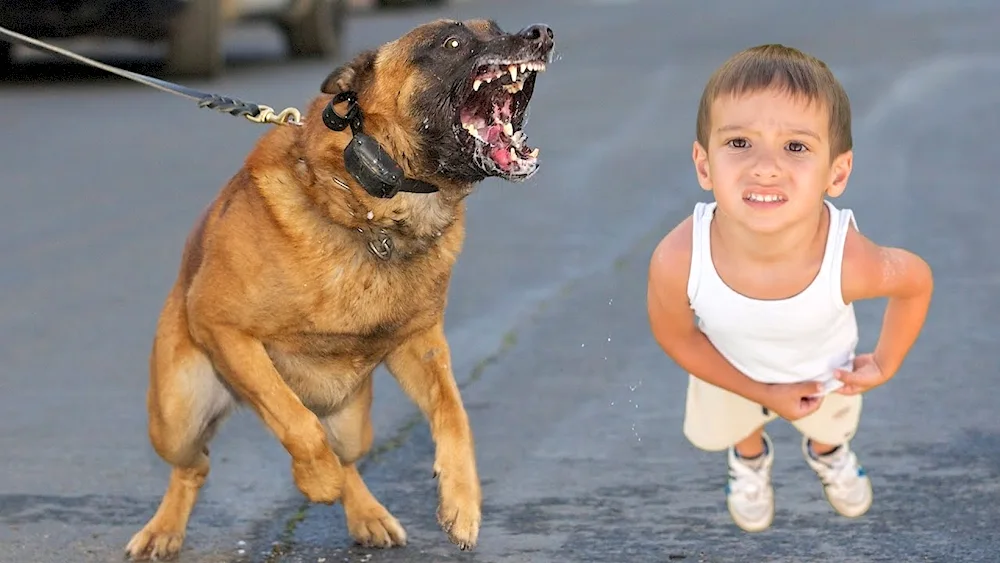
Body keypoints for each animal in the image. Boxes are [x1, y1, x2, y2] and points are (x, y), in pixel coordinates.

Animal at [123, 16, 556, 560]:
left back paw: (368, 515)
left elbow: (454, 415)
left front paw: (462, 502)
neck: (372, 210)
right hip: (177, 417)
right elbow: (293, 420)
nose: (540, 33)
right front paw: (316, 480)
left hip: (353, 424)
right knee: (196, 462)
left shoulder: (421, 346)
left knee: (346, 458)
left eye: (496, 26)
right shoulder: (223, 329)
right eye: (452, 42)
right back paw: (164, 529)